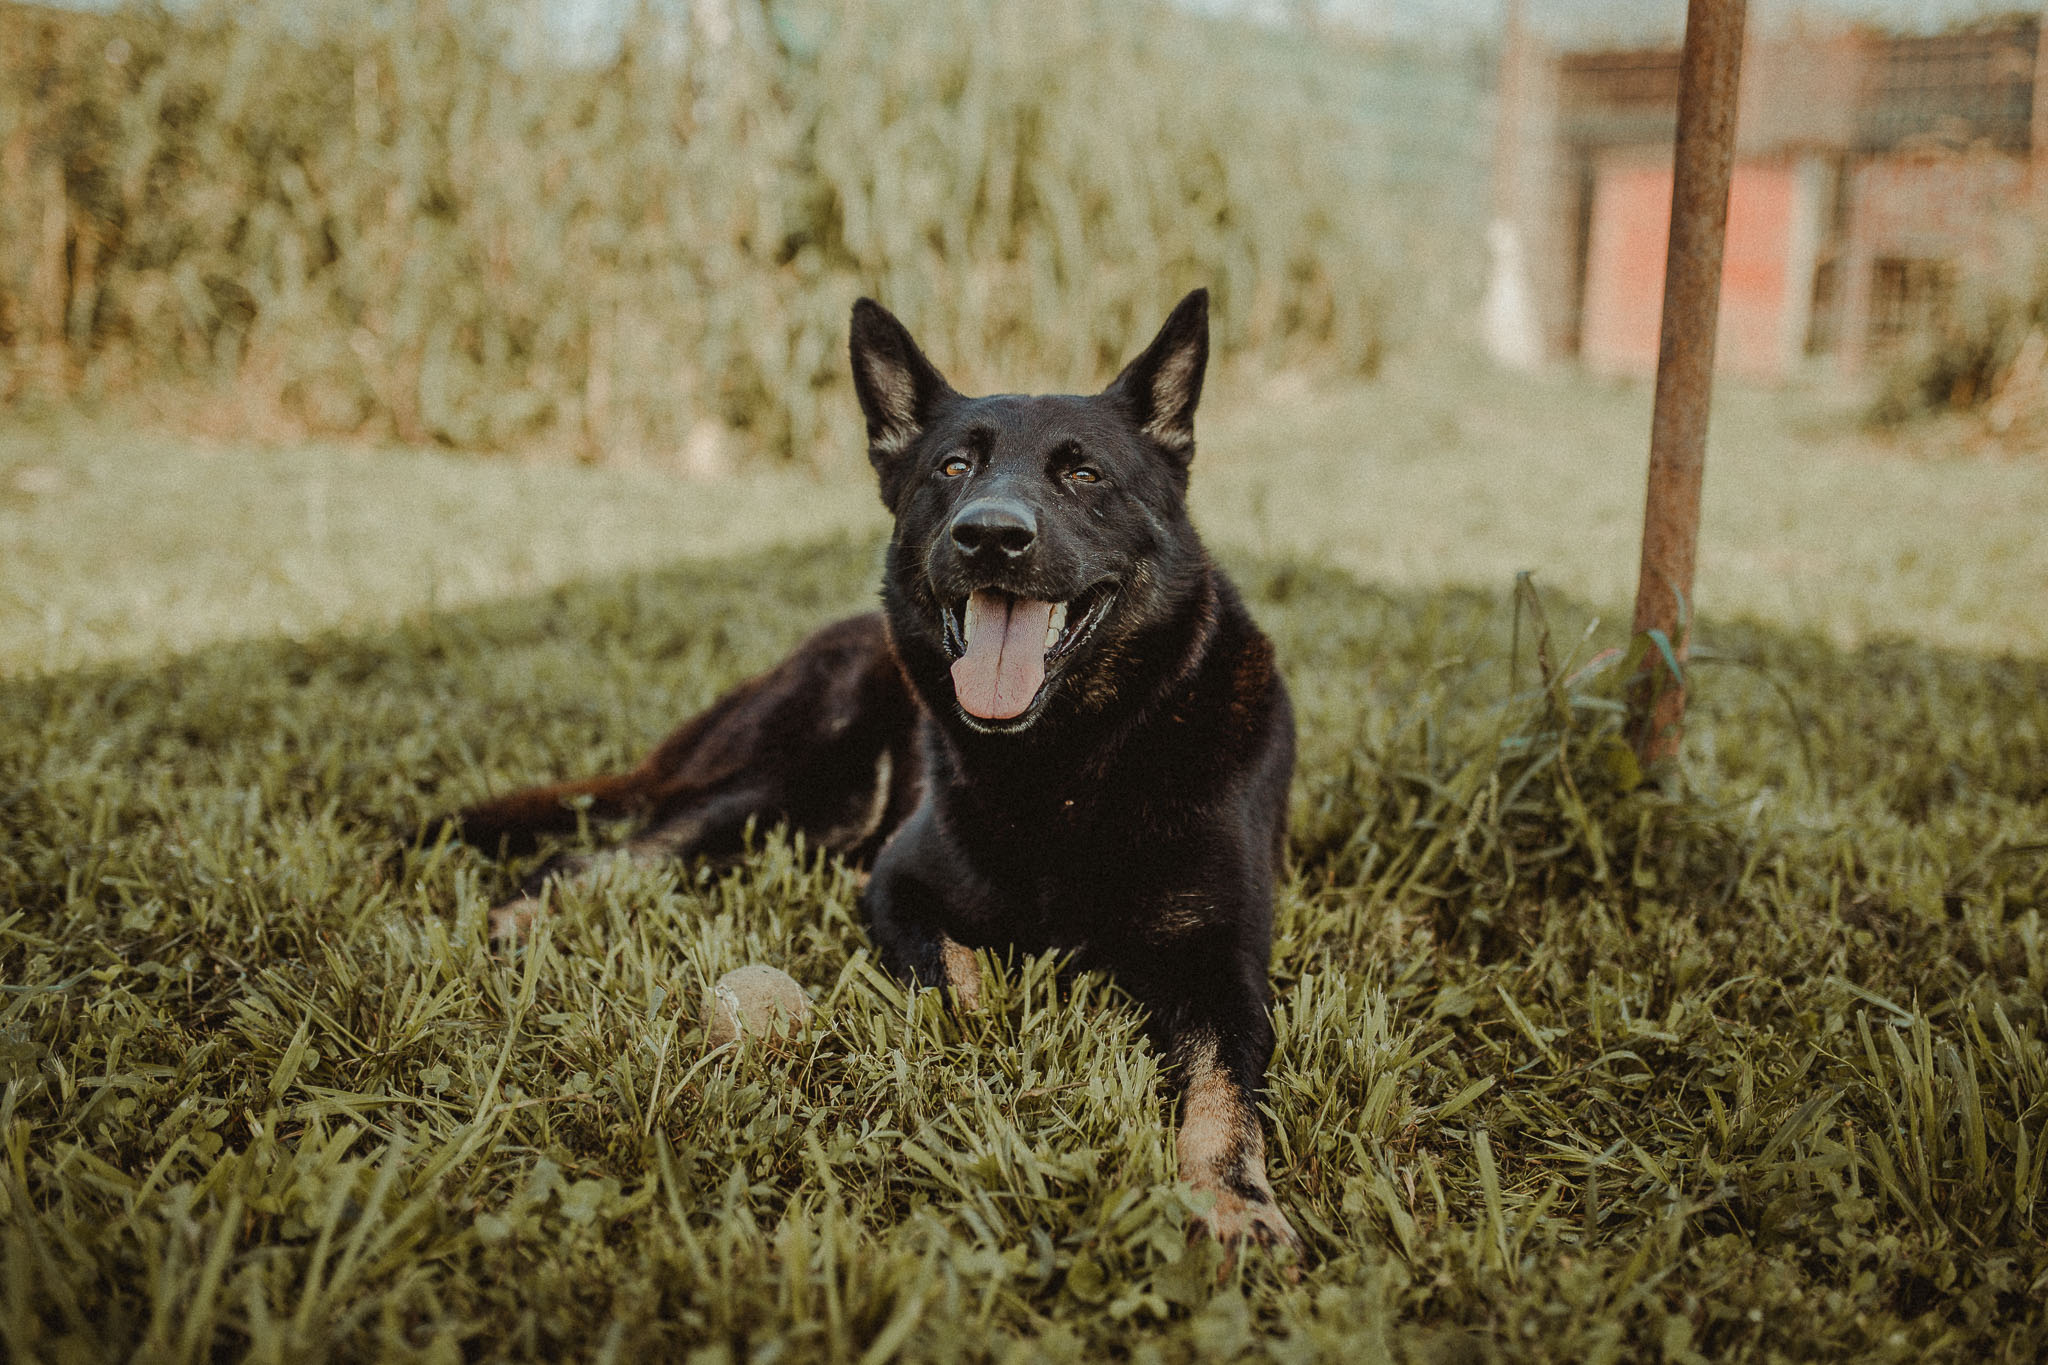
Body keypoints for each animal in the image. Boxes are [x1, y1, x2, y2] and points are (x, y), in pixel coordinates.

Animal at [453, 290, 1301, 1253]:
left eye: (1085, 474)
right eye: (954, 466)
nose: (990, 536)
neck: (1066, 764)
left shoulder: (1222, 963)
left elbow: (1225, 1091)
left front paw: (1231, 1198)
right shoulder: (896, 883)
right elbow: (961, 979)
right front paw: (993, 1034)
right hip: (793, 789)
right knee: (614, 852)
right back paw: (520, 916)